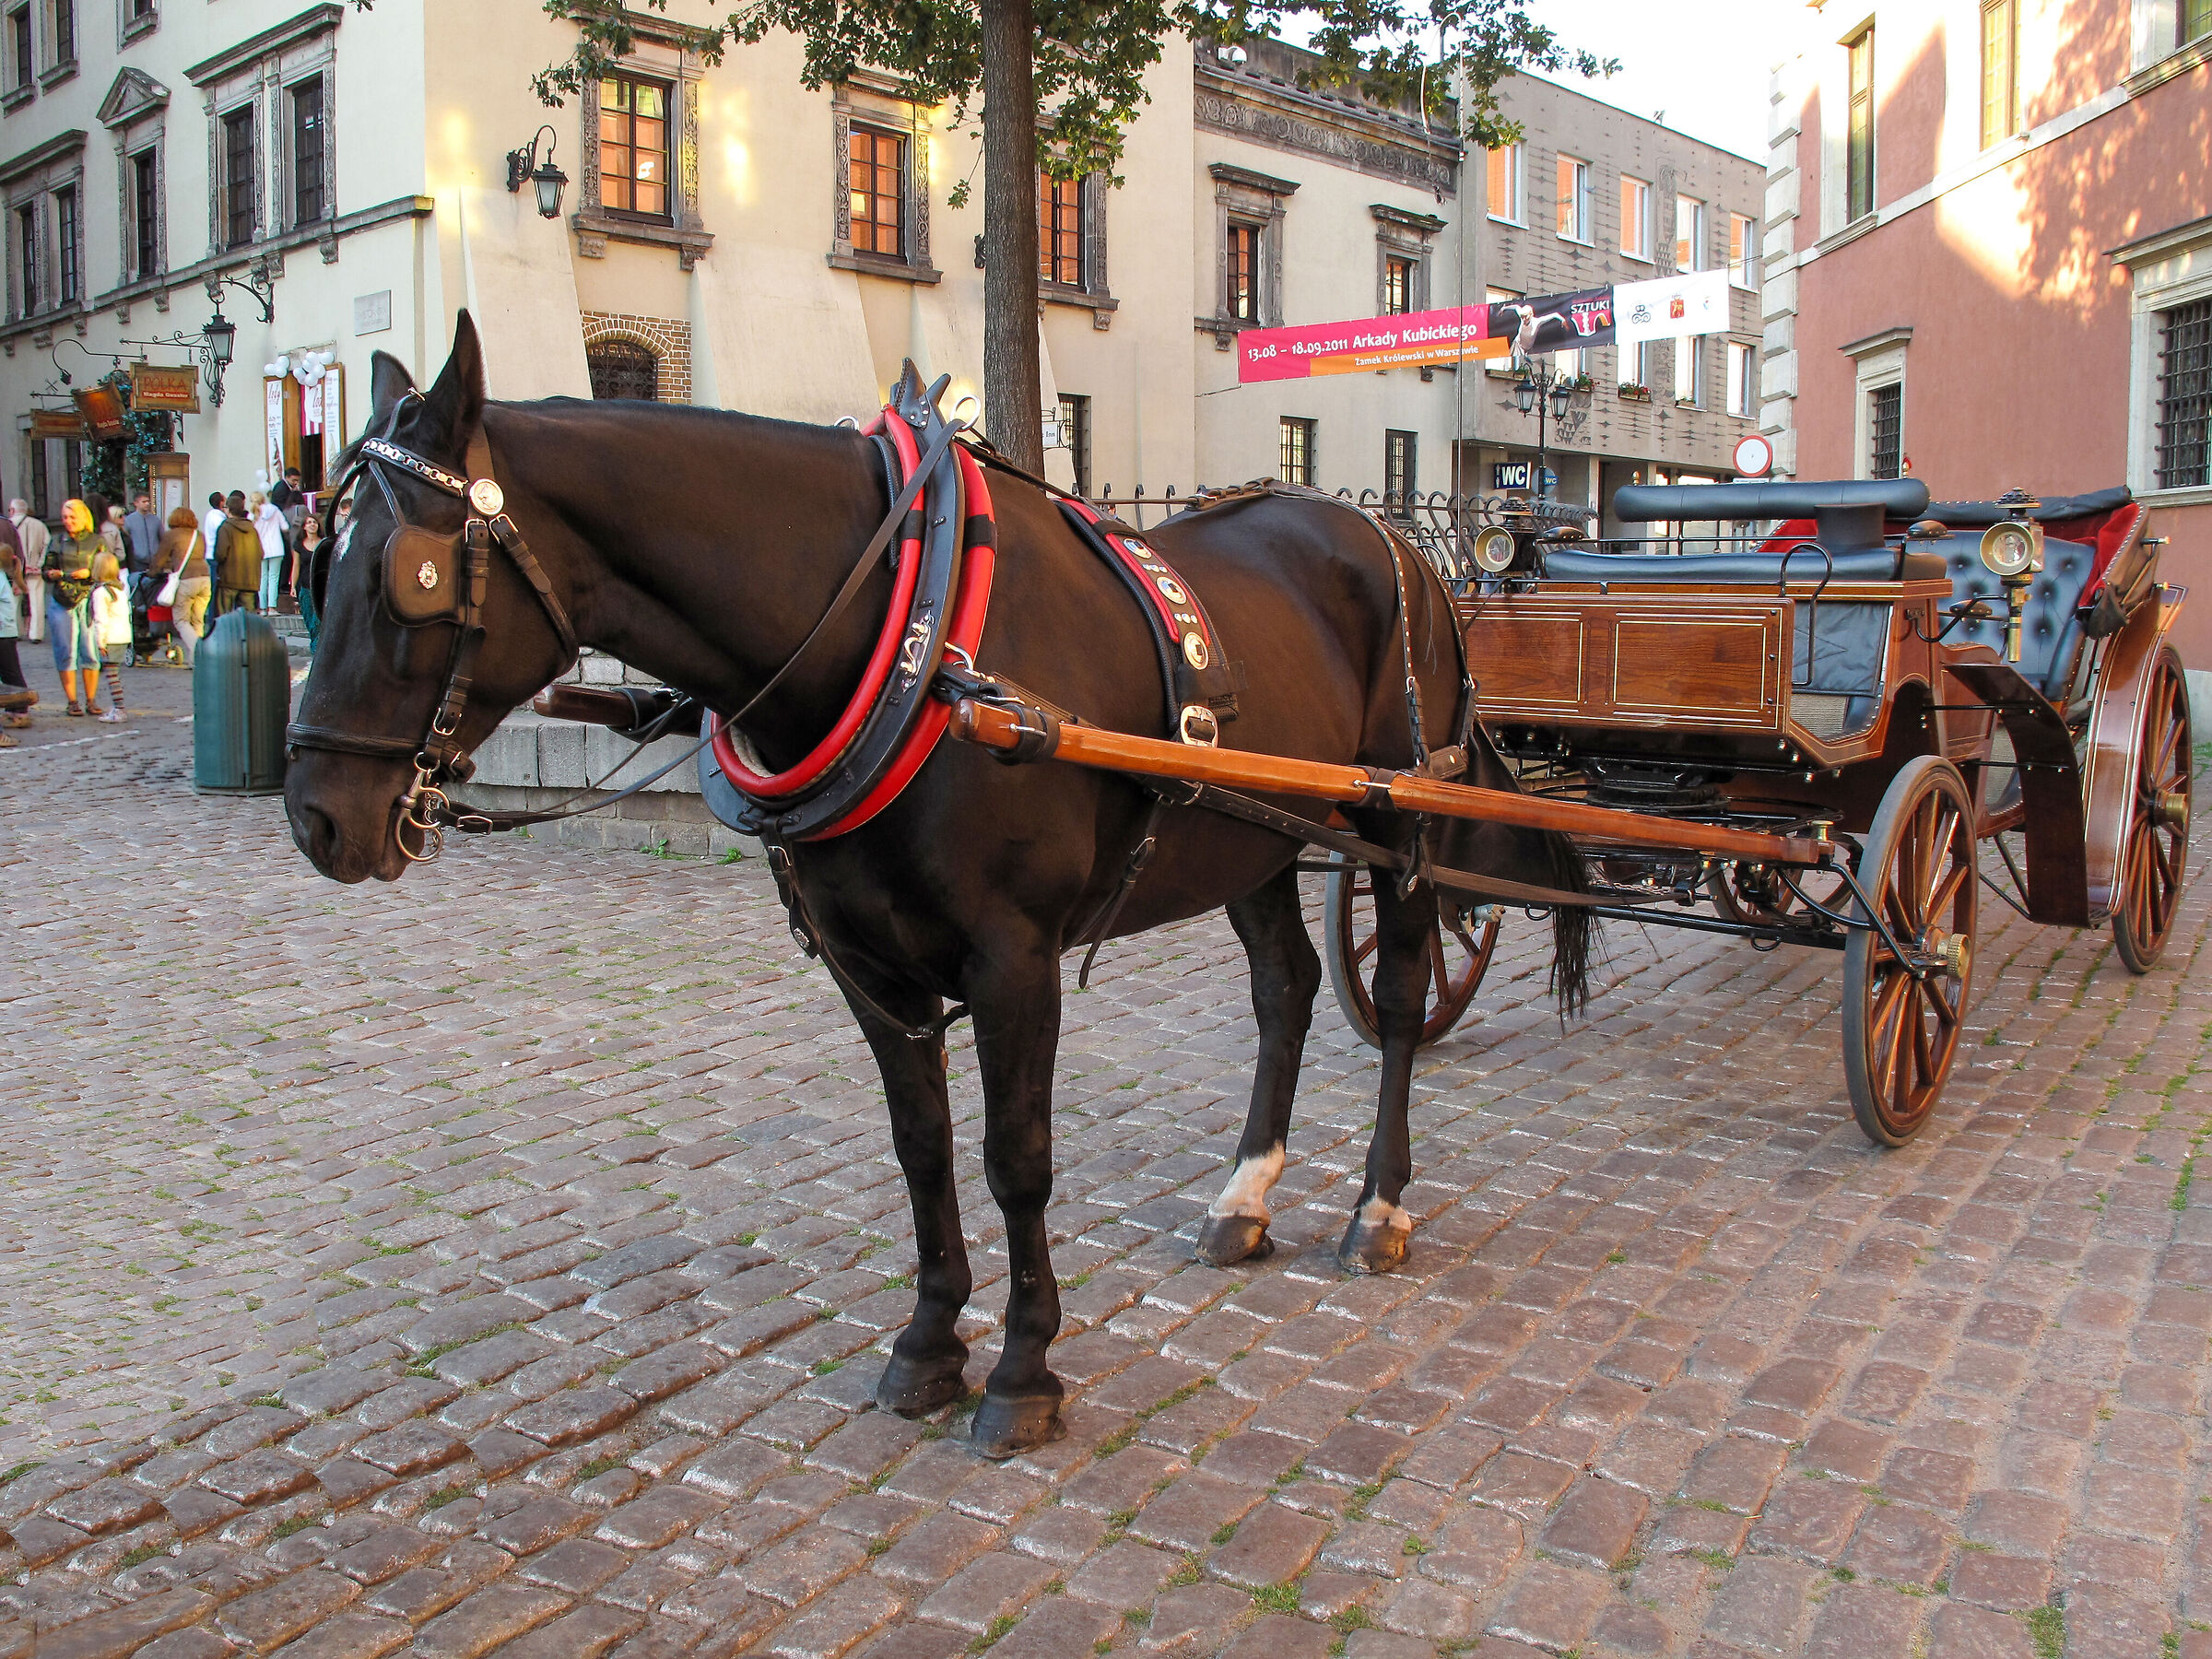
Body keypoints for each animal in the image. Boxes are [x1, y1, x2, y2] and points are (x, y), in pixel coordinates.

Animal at [285, 313, 1589, 1457]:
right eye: (318, 565)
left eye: (406, 574)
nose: (316, 815)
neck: (904, 634)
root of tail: (1405, 552)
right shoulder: (869, 965)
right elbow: (921, 1148)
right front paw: (926, 1344)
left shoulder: (1015, 961)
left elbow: (1017, 1158)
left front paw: (1022, 1370)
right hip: (1252, 837)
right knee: (1288, 988)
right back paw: (1246, 1196)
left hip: (1400, 827)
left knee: (1403, 996)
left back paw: (1378, 1208)